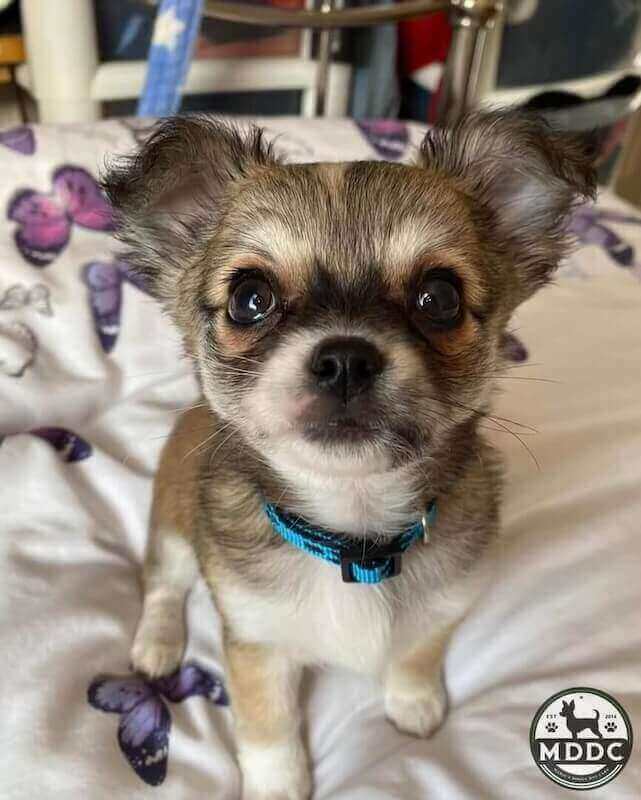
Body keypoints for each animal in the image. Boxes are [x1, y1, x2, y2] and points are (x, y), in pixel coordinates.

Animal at [104, 109, 595, 800]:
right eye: (249, 298)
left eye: (440, 297)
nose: (344, 359)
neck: (354, 535)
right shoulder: (256, 640)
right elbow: (267, 721)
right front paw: (278, 782)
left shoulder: (443, 603)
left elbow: (416, 653)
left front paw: (414, 702)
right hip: (175, 524)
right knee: (164, 586)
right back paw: (157, 644)